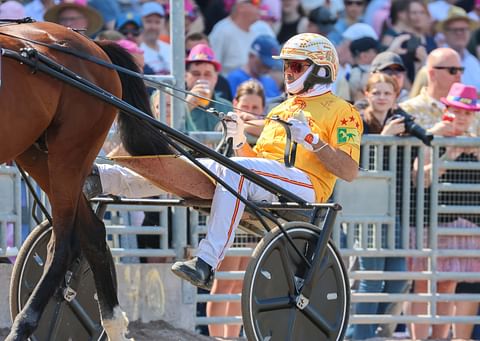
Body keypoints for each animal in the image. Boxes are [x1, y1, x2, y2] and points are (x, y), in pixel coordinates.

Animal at [0, 21, 172, 340]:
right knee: (91, 232)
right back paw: (113, 322)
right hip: (37, 153)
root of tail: (93, 45)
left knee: (64, 243)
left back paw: (23, 324)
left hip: (70, 152)